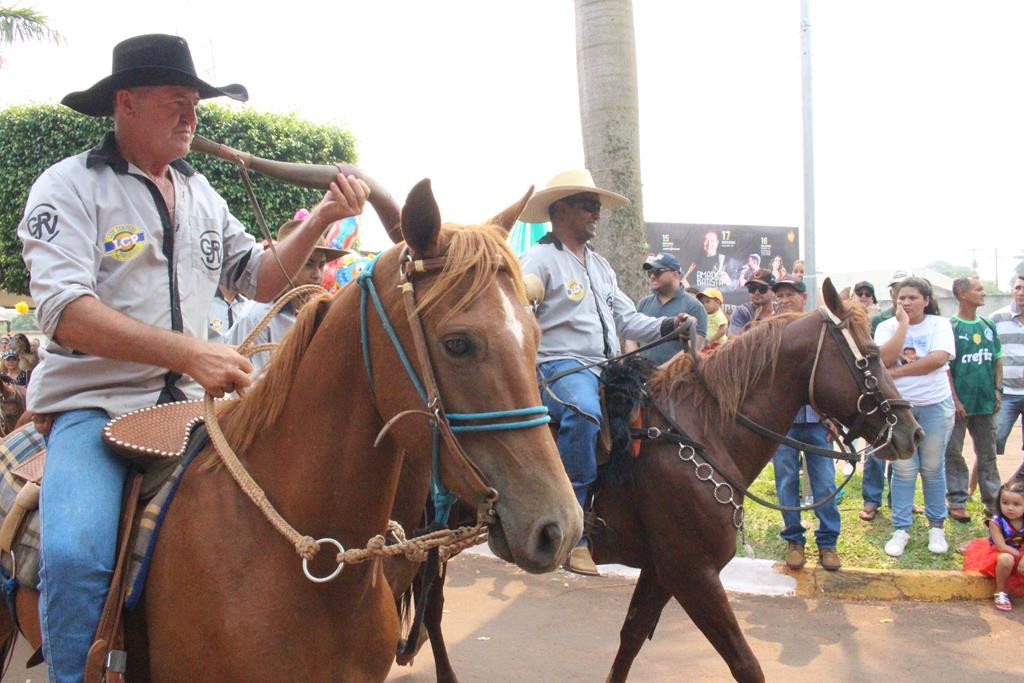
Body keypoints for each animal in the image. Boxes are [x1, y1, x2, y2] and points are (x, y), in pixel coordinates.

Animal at [593, 278, 921, 683]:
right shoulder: (691, 573)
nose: (912, 432)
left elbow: (632, 637)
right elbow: (745, 664)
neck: (700, 433)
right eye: (870, 357)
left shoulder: (661, 570)